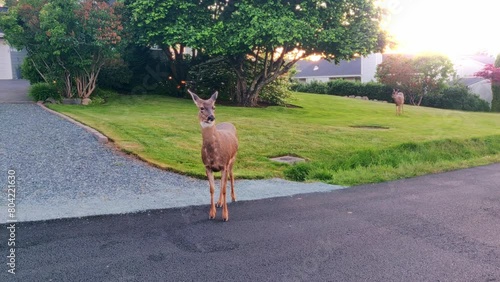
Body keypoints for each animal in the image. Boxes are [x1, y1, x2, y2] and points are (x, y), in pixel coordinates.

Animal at [188, 89, 238, 221]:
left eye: (214, 107)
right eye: (201, 108)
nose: (211, 117)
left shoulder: (224, 164)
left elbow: (224, 188)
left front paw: (225, 216)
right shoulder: (207, 166)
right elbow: (212, 189)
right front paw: (212, 213)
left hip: (232, 159)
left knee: (231, 176)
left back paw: (234, 197)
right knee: (221, 183)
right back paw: (219, 203)